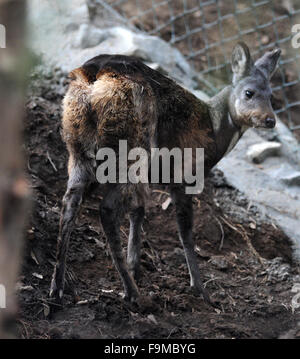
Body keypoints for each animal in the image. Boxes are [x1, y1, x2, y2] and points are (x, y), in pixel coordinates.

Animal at [49, 42, 282, 306]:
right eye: (249, 93)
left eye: (271, 96)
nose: (270, 120)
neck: (213, 131)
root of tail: (95, 74)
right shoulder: (185, 174)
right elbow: (185, 231)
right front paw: (200, 289)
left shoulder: (150, 178)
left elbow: (139, 211)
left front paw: (136, 267)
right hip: (133, 147)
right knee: (107, 208)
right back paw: (132, 294)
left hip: (78, 146)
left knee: (70, 201)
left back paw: (58, 287)